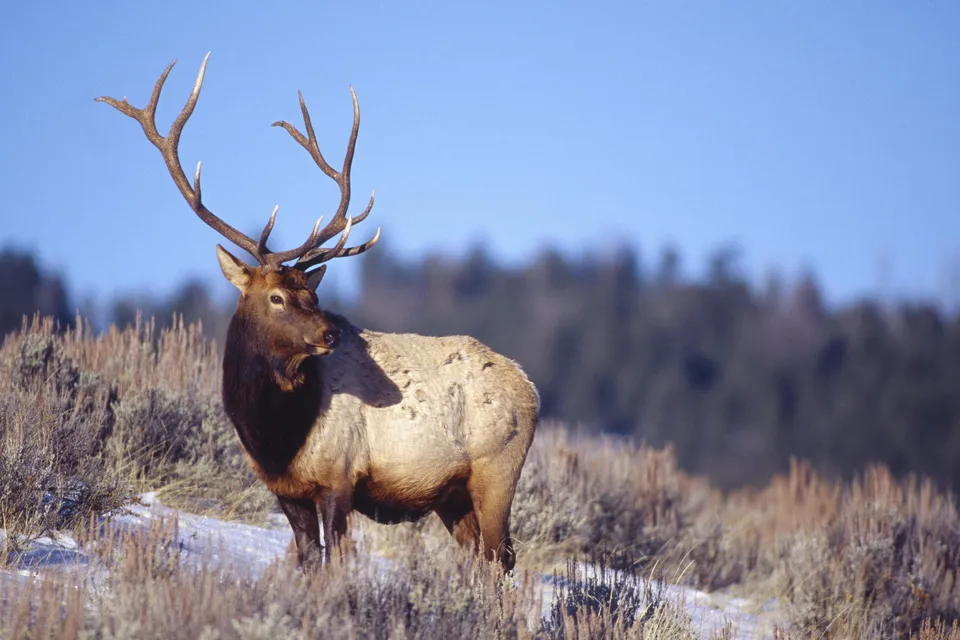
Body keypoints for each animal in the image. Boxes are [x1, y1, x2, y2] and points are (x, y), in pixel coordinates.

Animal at [96, 53, 540, 572]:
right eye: (277, 297)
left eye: (312, 292)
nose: (331, 334)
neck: (275, 436)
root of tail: (531, 389)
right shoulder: (286, 490)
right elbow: (309, 561)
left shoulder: (339, 477)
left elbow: (337, 564)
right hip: (452, 496)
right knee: (482, 562)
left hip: (496, 472)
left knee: (500, 559)